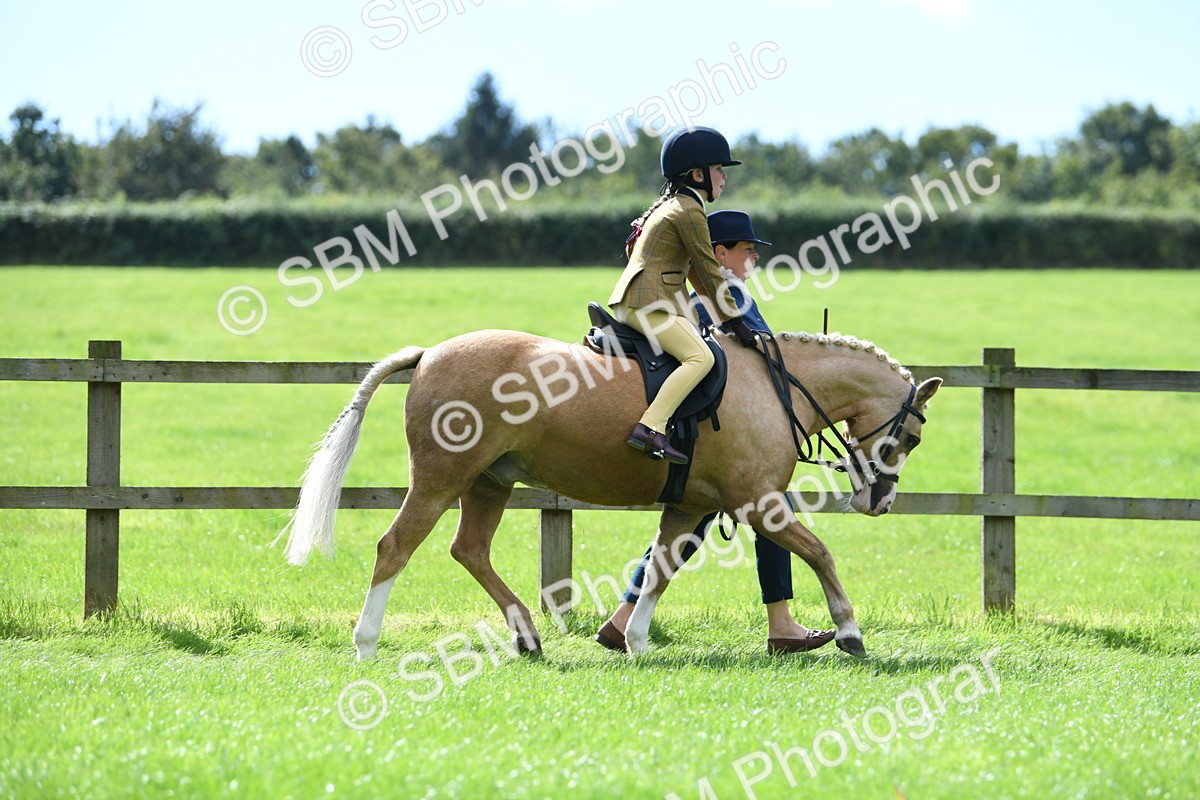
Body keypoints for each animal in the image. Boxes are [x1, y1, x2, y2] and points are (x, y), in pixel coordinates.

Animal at [277, 326, 941, 660]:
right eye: (910, 435)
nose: (880, 501)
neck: (773, 386)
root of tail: (430, 354)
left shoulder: (691, 506)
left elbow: (661, 569)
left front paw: (636, 640)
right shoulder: (760, 505)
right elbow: (820, 554)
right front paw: (849, 632)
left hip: (490, 483)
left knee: (470, 551)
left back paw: (527, 635)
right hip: (442, 481)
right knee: (395, 548)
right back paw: (365, 644)